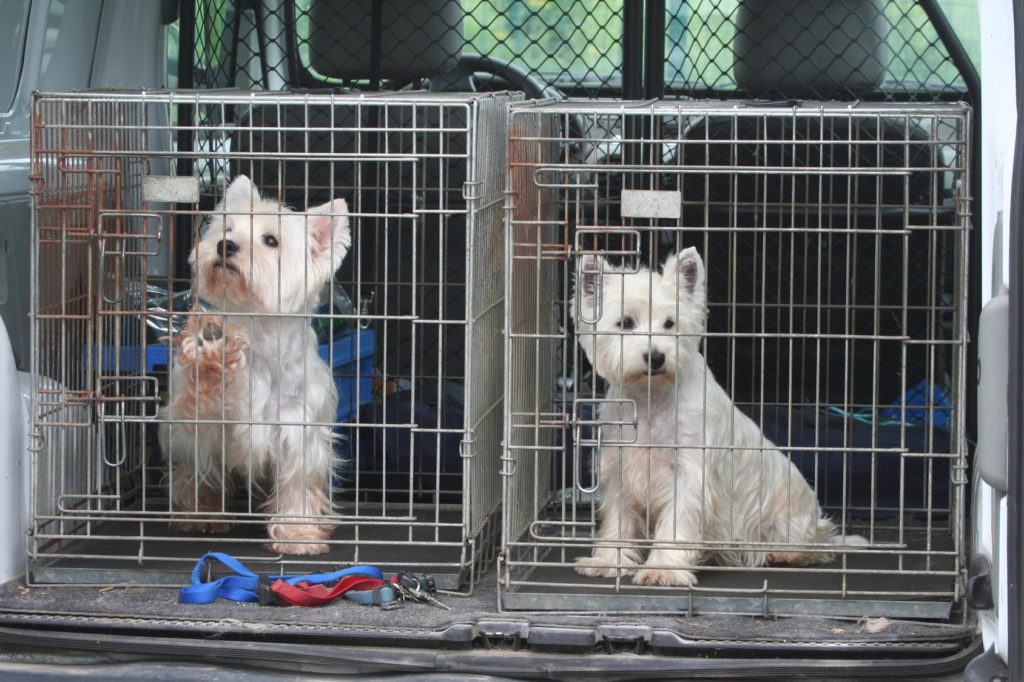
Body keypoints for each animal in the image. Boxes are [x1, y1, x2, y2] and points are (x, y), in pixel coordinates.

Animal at [158, 175, 352, 552]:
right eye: (228, 228)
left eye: (271, 240)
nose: (225, 245)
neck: (259, 336)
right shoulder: (204, 425)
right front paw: (213, 355)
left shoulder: (298, 430)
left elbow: (297, 484)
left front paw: (297, 534)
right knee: (194, 475)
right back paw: (201, 515)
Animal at [573, 245, 860, 585]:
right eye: (625, 323)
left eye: (670, 323)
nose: (656, 357)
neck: (650, 397)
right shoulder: (620, 468)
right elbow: (619, 520)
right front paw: (608, 561)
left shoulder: (689, 472)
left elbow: (675, 524)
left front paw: (663, 568)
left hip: (791, 515)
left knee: (812, 545)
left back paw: (783, 553)